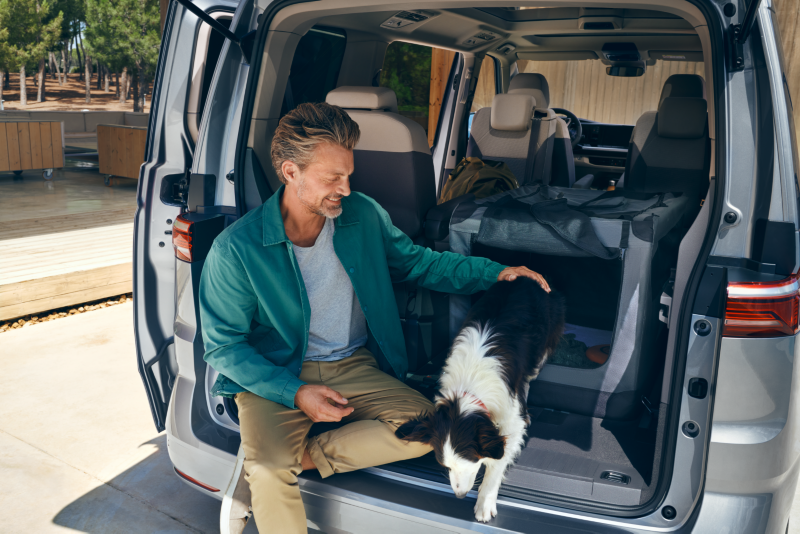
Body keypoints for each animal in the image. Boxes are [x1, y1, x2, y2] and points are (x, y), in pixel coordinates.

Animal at [394, 278, 564, 524]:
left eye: (472, 461)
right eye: (446, 466)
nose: (459, 495)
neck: (466, 392)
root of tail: (525, 278)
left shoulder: (510, 418)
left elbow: (499, 459)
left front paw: (484, 502)